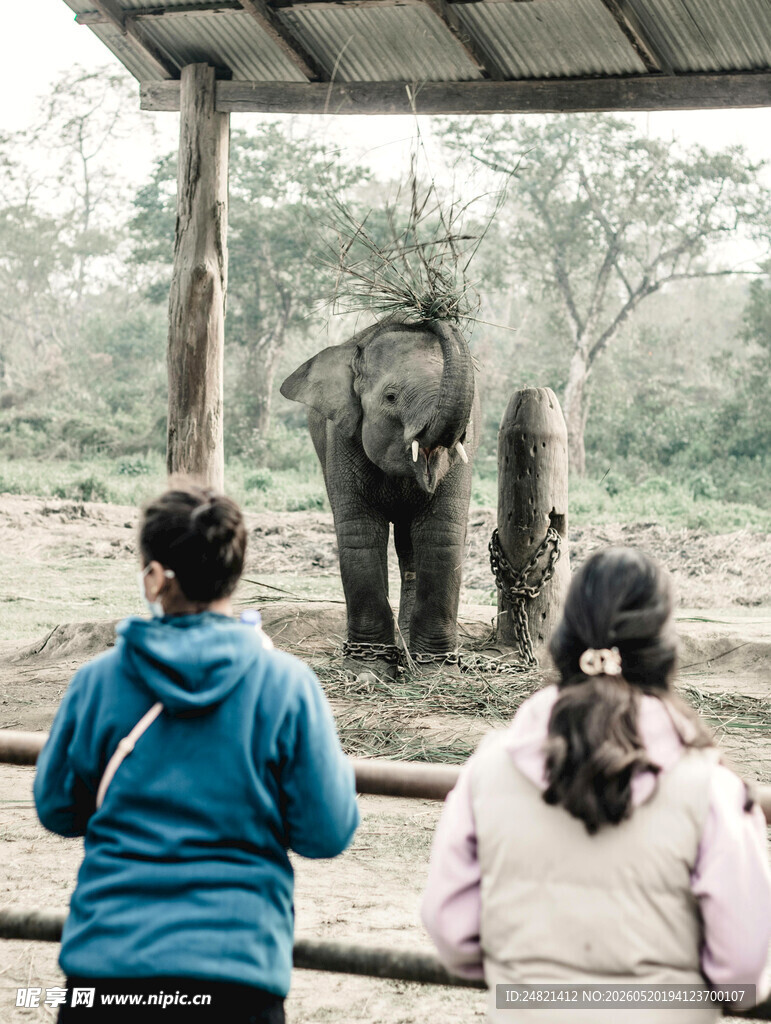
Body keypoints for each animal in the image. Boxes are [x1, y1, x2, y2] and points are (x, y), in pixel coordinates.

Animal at [280, 316, 479, 670]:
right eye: (390, 397)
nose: (431, 314)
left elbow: (439, 532)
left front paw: (437, 669)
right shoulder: (341, 437)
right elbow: (360, 531)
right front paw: (367, 670)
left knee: (410, 543)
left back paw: (409, 652)